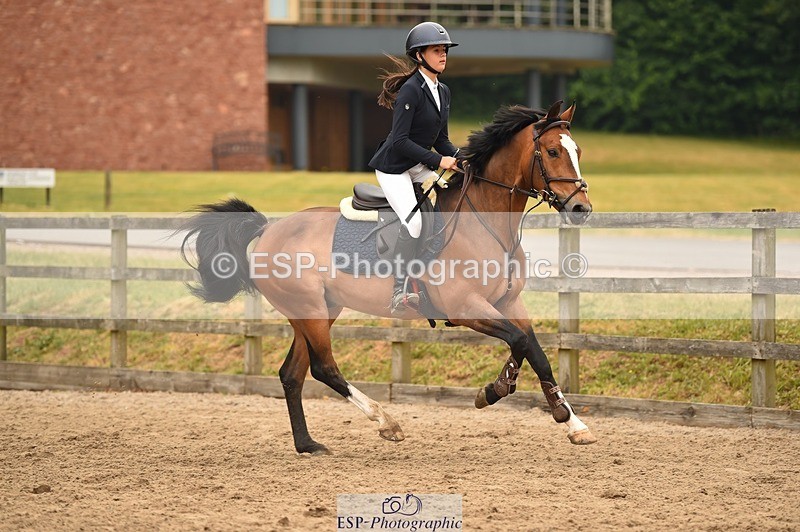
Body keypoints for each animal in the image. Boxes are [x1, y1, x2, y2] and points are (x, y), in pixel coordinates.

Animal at [181, 100, 595, 454]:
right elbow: (519, 342)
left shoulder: (508, 302)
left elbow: (534, 351)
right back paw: (386, 422)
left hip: (318, 310)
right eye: (553, 152)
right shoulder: (466, 308)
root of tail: (269, 229)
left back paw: (308, 444)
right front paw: (495, 390)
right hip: (309, 309)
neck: (485, 222)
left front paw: (572, 423)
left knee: (292, 373)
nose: (580, 208)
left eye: (577, 151)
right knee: (323, 367)